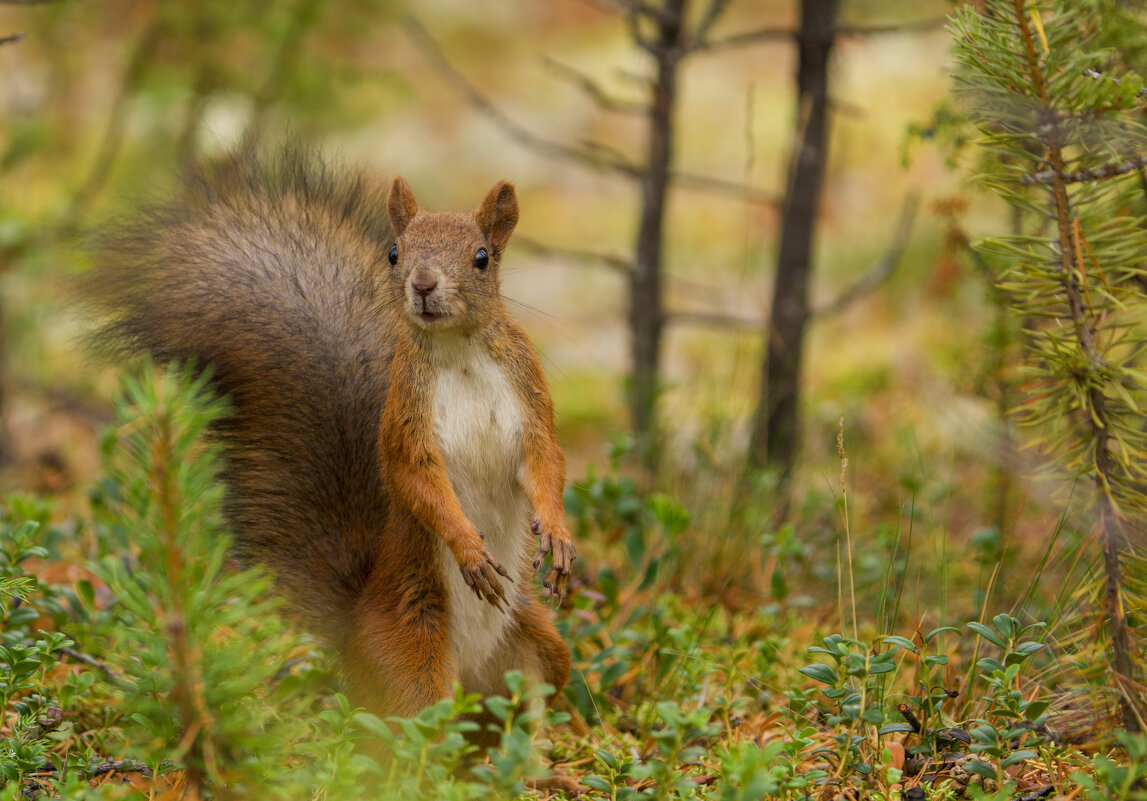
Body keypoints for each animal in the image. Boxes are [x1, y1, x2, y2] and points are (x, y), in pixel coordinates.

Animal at [83, 146, 573, 734]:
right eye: (394, 253)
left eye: (481, 257)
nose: (423, 284)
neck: (459, 352)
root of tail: (355, 630)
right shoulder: (406, 418)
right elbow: (415, 480)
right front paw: (469, 548)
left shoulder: (529, 395)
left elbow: (546, 461)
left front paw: (559, 534)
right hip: (413, 652)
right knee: (410, 732)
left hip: (538, 643)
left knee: (530, 702)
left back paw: (542, 752)